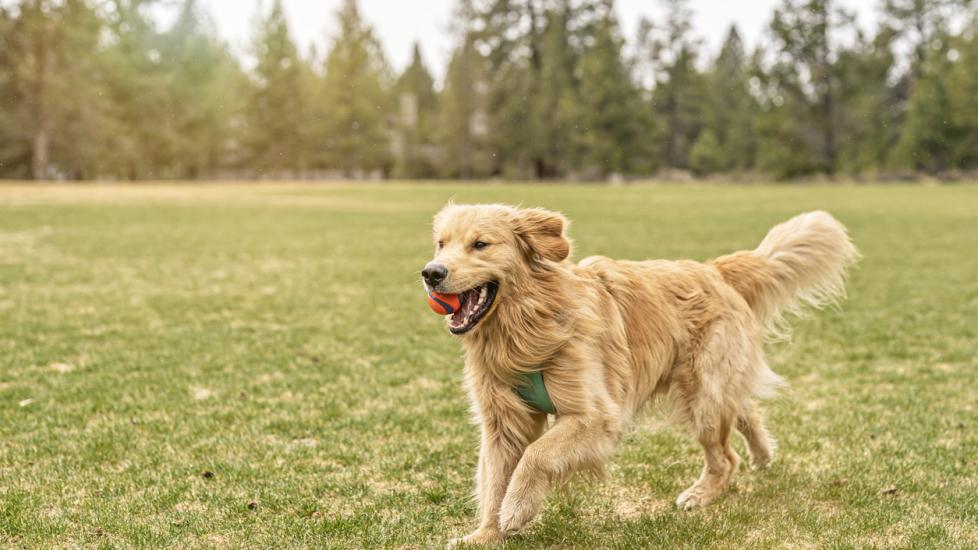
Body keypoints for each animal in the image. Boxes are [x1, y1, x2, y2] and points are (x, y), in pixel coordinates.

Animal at [420, 205, 856, 544]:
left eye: (480, 244)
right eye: (441, 243)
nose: (431, 273)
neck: (526, 327)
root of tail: (713, 270)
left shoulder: (595, 417)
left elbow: (535, 455)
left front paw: (516, 510)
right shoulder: (502, 422)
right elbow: (494, 478)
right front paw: (486, 534)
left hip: (702, 394)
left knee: (725, 456)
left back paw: (701, 493)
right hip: (712, 389)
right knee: (745, 410)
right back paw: (763, 454)